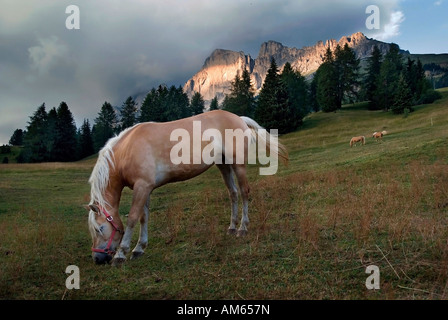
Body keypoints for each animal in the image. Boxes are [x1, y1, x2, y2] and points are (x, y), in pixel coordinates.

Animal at [86, 110, 288, 264]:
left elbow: (133, 218)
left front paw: (121, 254)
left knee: (244, 192)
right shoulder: (145, 188)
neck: (126, 150)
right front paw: (139, 248)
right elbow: (144, 217)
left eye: (100, 228)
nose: (97, 259)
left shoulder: (142, 186)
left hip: (238, 165)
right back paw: (232, 227)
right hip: (223, 165)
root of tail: (238, 117)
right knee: (233, 193)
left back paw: (243, 228)